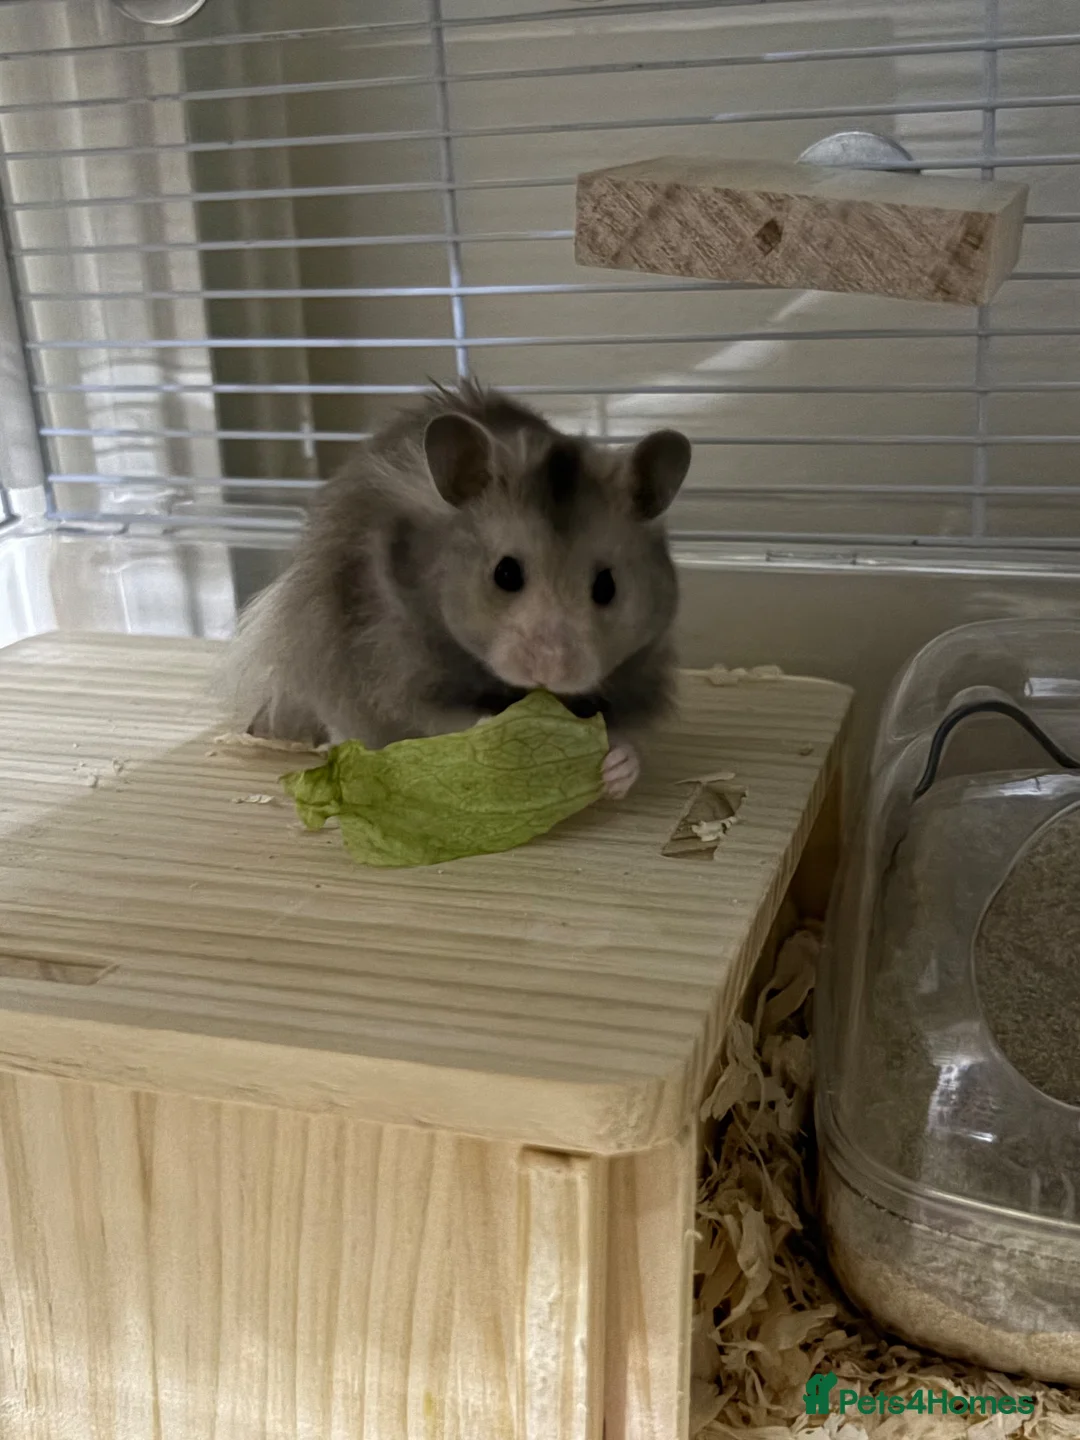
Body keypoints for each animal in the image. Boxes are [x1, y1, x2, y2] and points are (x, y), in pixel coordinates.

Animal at [225, 380, 691, 800]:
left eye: (607, 586)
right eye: (505, 574)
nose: (550, 670)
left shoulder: (641, 673)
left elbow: (628, 735)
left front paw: (618, 767)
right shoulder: (396, 668)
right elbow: (441, 718)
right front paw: (493, 734)